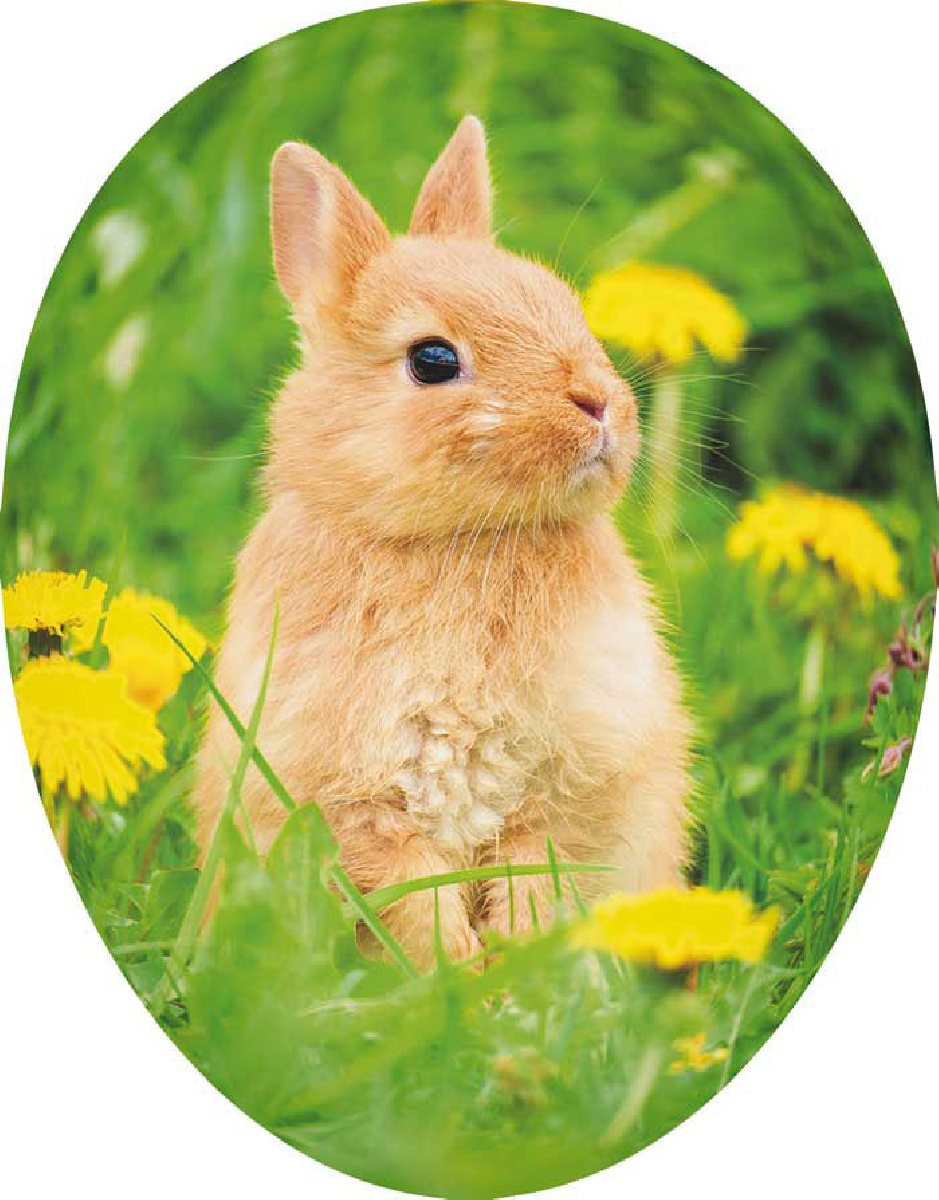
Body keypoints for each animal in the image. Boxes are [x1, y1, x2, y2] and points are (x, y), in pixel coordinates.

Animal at [194, 116, 691, 968]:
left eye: (565, 307)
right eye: (432, 359)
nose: (597, 402)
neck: (456, 541)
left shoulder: (565, 785)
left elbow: (535, 875)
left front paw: (516, 971)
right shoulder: (359, 803)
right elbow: (410, 899)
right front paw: (453, 976)